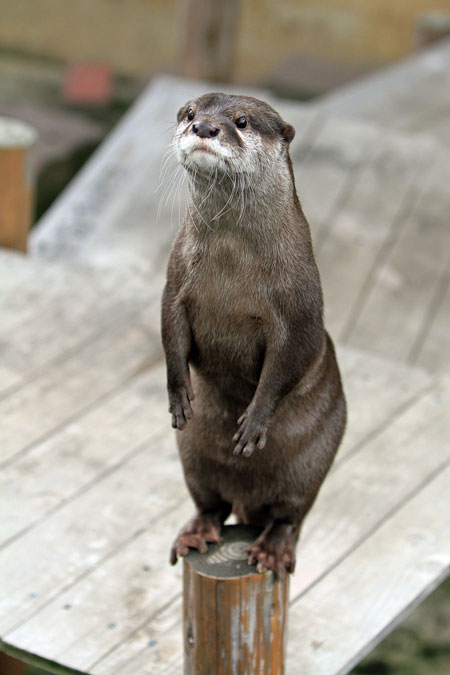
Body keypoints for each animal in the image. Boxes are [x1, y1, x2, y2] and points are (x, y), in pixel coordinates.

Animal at [163, 92, 348, 580]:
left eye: (241, 121)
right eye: (190, 112)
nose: (204, 128)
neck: (233, 269)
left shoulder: (299, 308)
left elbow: (289, 362)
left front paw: (253, 423)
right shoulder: (175, 282)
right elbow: (170, 334)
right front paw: (179, 396)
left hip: (309, 470)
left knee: (289, 517)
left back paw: (271, 550)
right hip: (193, 459)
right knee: (212, 504)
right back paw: (195, 533)